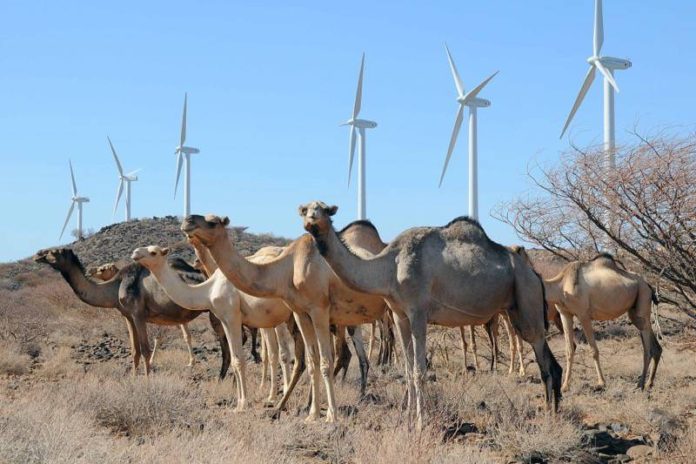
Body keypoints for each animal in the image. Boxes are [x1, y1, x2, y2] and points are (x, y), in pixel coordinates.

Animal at [33, 248, 231, 378]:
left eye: (53, 252)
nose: (37, 255)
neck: (116, 286)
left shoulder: (138, 315)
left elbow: (145, 349)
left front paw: (147, 380)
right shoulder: (127, 316)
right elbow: (134, 350)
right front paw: (134, 379)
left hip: (216, 312)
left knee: (227, 344)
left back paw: (220, 378)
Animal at [132, 243, 298, 410]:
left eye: (153, 252)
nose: (135, 253)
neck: (208, 289)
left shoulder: (232, 316)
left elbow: (239, 359)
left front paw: (242, 404)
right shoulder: (225, 319)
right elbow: (234, 359)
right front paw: (238, 401)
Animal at [181, 216, 392, 422]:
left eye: (212, 222)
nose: (187, 221)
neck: (286, 269)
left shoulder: (318, 310)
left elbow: (322, 361)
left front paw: (330, 415)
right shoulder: (300, 313)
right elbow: (312, 360)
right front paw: (312, 413)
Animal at [302, 201, 564, 430]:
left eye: (323, 209)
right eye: (304, 209)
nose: (310, 222)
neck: (389, 267)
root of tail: (536, 275)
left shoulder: (418, 312)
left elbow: (419, 371)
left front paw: (420, 423)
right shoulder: (399, 314)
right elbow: (408, 371)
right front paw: (405, 419)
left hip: (527, 297)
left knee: (544, 362)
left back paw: (549, 418)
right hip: (517, 309)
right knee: (551, 362)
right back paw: (555, 412)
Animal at [540, 254, 660, 392]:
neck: (561, 286)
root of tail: (648, 285)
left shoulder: (583, 315)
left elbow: (594, 350)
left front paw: (601, 382)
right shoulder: (565, 314)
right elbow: (569, 349)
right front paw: (565, 386)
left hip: (643, 297)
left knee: (647, 349)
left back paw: (640, 384)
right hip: (635, 312)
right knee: (654, 345)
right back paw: (649, 383)